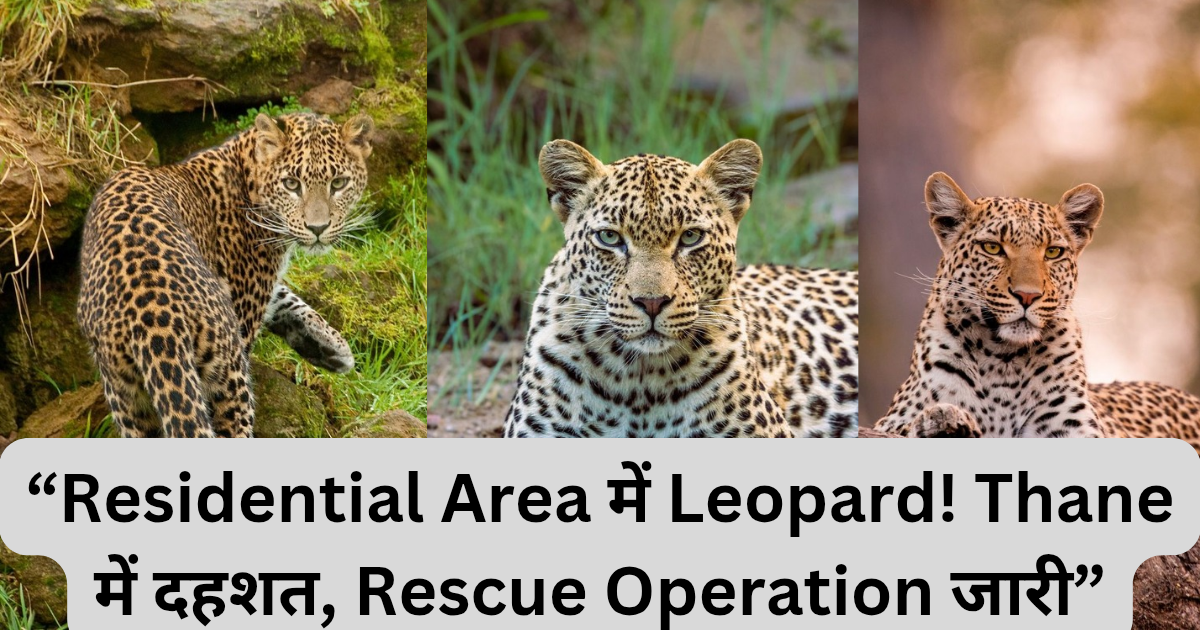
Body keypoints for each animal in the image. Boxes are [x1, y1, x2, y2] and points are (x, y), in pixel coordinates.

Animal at [76, 112, 374, 438]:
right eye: (292, 184)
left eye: (339, 183)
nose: (317, 228)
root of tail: (151, 312)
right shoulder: (245, 305)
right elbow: (279, 295)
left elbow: (284, 295)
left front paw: (333, 347)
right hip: (228, 377)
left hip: (126, 395)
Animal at [875, 171, 1200, 452]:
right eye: (992, 248)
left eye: (1053, 252)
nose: (1028, 295)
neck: (1002, 359)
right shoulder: (892, 419)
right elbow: (906, 426)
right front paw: (942, 423)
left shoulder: (1074, 428)